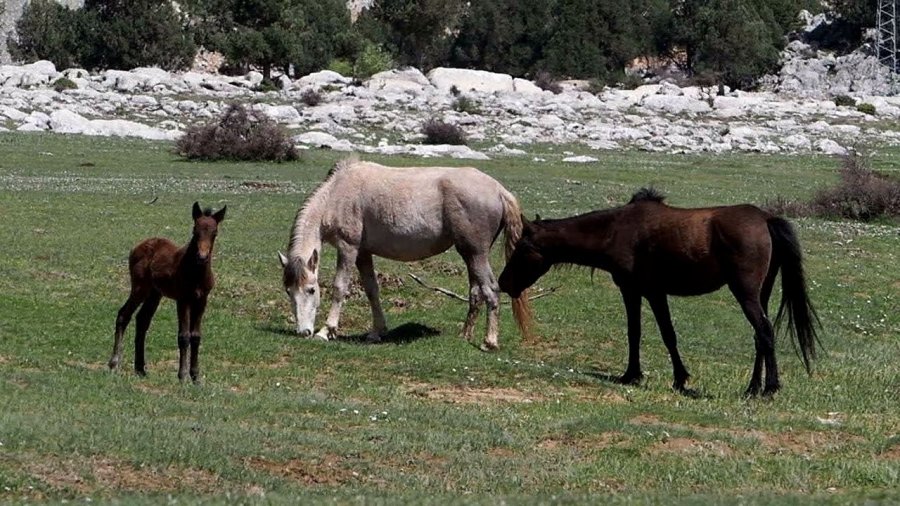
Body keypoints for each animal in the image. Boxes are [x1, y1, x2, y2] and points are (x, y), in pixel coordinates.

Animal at [108, 202, 225, 384]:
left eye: (215, 233)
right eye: (195, 231)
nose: (202, 257)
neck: (196, 273)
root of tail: (138, 246)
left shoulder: (201, 300)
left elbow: (196, 336)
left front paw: (196, 377)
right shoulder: (183, 299)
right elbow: (184, 336)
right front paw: (183, 376)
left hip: (154, 293)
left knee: (142, 320)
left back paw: (140, 369)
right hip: (140, 288)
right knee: (123, 315)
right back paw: (114, 364)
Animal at [278, 158, 532, 352]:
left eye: (311, 290)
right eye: (289, 291)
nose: (303, 331)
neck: (337, 193)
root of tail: (499, 190)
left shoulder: (348, 248)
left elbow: (340, 287)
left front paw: (326, 331)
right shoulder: (363, 253)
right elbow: (372, 290)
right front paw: (377, 332)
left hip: (476, 253)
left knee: (490, 290)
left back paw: (489, 342)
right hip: (470, 255)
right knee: (476, 292)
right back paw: (465, 335)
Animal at [500, 188, 824, 398]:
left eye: (522, 248)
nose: (503, 283)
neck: (616, 230)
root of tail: (766, 219)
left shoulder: (641, 291)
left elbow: (651, 333)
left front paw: (642, 376)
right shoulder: (651, 293)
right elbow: (654, 333)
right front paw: (666, 377)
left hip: (745, 294)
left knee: (765, 332)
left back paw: (769, 388)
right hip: (761, 295)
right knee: (760, 337)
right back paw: (752, 387)